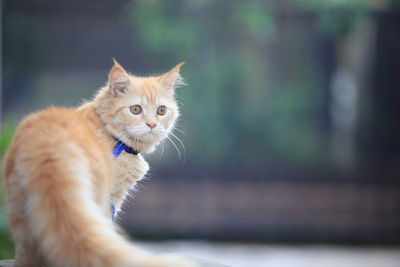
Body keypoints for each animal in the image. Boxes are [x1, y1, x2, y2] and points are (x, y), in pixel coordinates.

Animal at [2, 59, 197, 266]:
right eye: (135, 109)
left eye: (161, 110)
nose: (152, 124)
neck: (112, 135)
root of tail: (48, 143)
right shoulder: (112, 197)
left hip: (21, 215)